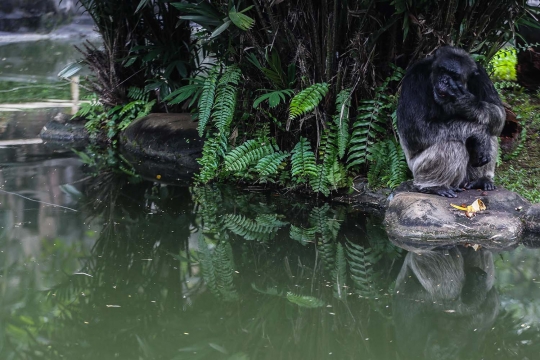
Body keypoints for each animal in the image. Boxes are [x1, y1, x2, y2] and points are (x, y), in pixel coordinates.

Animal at [396, 46, 506, 198]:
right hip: (417, 168)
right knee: (452, 145)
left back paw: (481, 180)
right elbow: (416, 127)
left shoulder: (482, 76)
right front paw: (478, 133)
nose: (444, 81)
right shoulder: (414, 79)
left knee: (490, 128)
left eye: (454, 76)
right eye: (442, 70)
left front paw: (466, 102)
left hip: (465, 179)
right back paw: (435, 186)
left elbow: (498, 111)